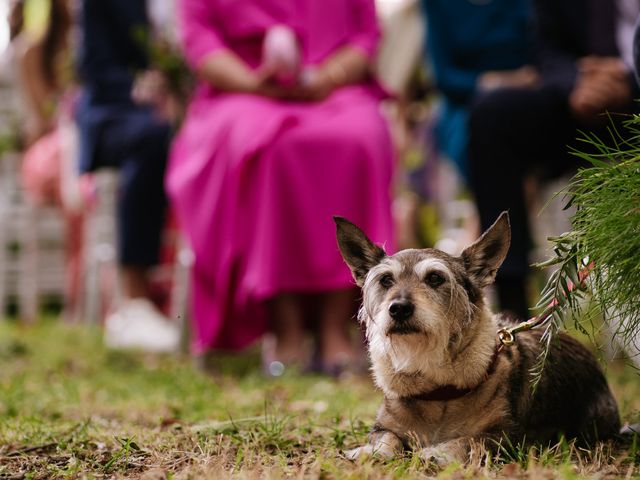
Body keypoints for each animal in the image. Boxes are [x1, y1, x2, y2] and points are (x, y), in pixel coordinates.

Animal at [336, 213, 620, 464]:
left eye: (435, 278)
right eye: (386, 280)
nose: (399, 308)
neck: (437, 388)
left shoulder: (506, 437)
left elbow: (469, 441)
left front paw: (438, 452)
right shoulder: (383, 426)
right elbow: (387, 438)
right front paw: (369, 451)